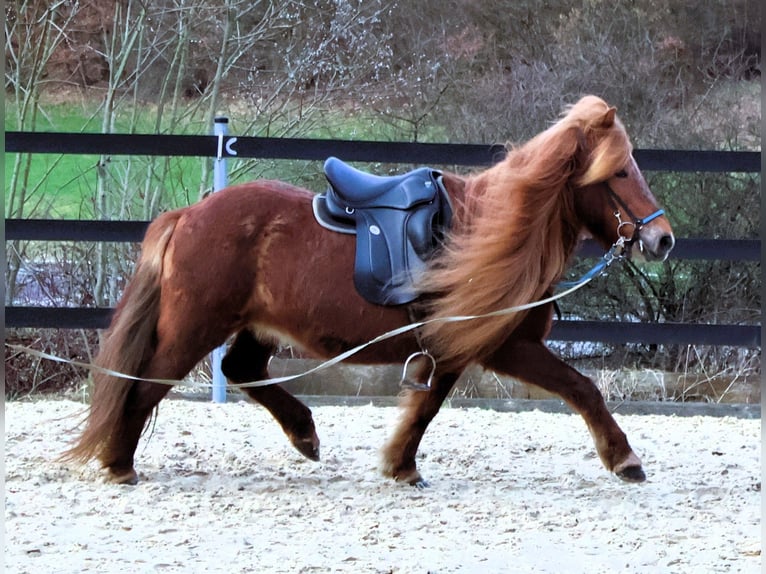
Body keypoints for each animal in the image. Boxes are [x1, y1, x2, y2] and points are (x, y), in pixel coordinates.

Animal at [66, 97, 680, 488]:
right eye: (620, 172)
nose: (663, 239)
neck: (498, 231)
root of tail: (189, 215)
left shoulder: (455, 348)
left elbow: (428, 405)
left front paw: (399, 464)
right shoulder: (502, 346)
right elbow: (582, 389)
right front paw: (624, 459)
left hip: (256, 325)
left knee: (241, 369)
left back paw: (304, 433)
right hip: (195, 326)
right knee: (146, 382)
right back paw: (119, 462)